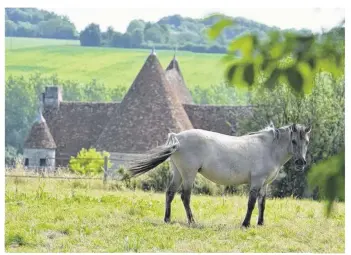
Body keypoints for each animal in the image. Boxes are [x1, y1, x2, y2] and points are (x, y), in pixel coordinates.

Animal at [126, 123, 310, 227]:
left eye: (306, 142)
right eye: (294, 141)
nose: (301, 162)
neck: (269, 148)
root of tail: (177, 137)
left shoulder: (264, 184)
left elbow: (262, 203)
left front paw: (260, 223)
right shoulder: (257, 182)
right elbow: (251, 203)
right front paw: (246, 224)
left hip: (178, 173)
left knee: (170, 193)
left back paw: (167, 219)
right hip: (188, 174)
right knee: (185, 196)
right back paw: (192, 221)